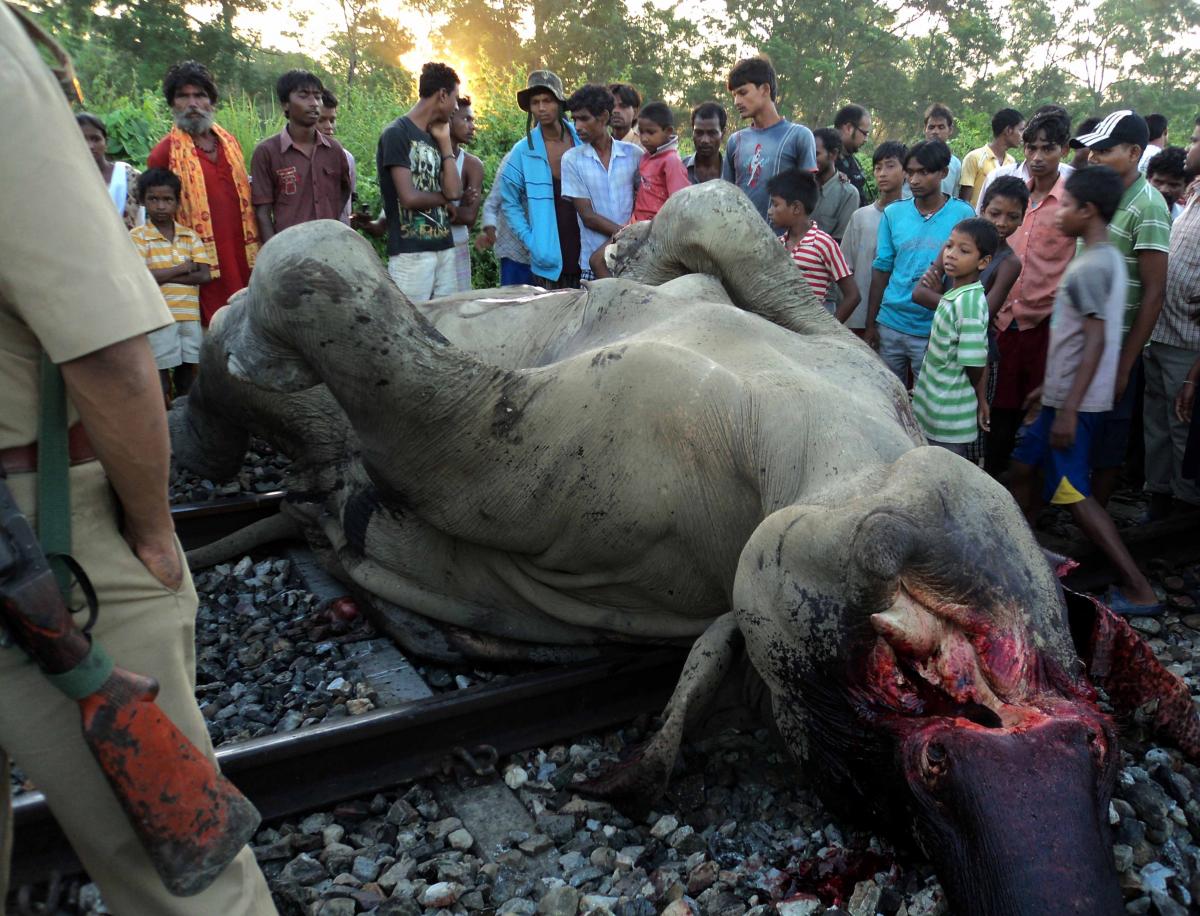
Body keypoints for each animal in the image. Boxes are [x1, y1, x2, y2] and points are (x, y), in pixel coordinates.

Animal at [173, 181, 1200, 915]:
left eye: (929, 770)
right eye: (931, 703)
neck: (802, 430)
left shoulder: (514, 464)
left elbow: (320, 279)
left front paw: (258, 324)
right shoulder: (845, 358)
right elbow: (718, 210)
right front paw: (628, 246)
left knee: (306, 408)